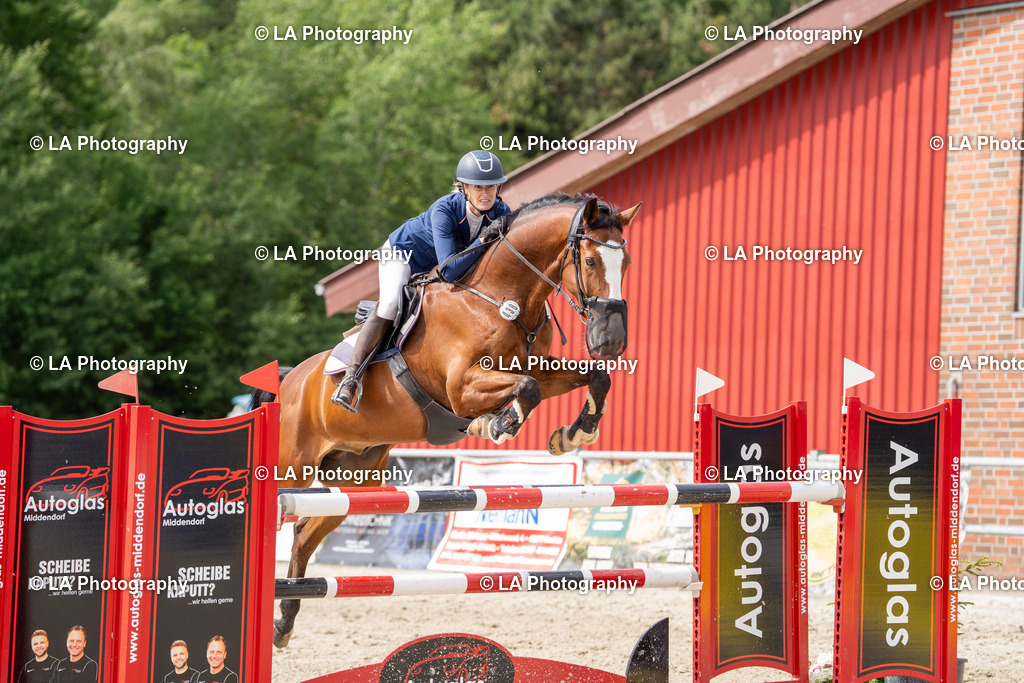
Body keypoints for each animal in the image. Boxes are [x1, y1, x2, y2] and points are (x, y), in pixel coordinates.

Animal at [252, 193, 641, 647]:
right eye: (592, 261)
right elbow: (527, 390)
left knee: (302, 536)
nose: (612, 341)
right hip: (290, 466)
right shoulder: (462, 387)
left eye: (626, 261)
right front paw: (493, 425)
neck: (502, 298)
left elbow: (592, 377)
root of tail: (291, 379)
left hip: (355, 478)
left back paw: (284, 624)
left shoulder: (538, 367)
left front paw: (573, 434)